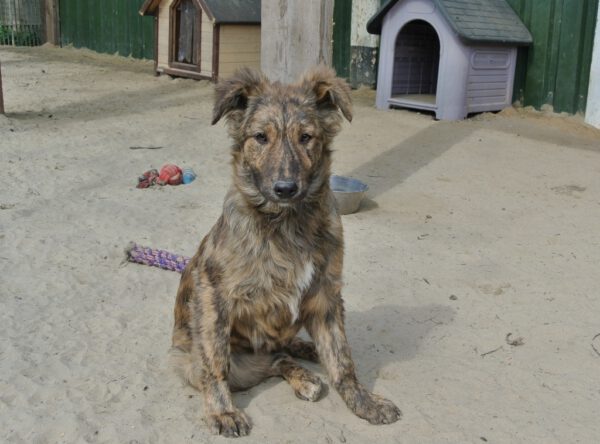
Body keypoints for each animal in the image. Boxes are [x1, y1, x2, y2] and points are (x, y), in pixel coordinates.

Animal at [171, 66, 400, 438]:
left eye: (306, 137)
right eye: (260, 137)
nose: (285, 188)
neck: (287, 224)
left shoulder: (325, 295)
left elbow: (342, 359)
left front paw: (363, 401)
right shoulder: (213, 292)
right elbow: (215, 362)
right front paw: (222, 411)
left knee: (281, 353)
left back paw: (307, 355)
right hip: (218, 360)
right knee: (266, 361)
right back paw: (303, 375)